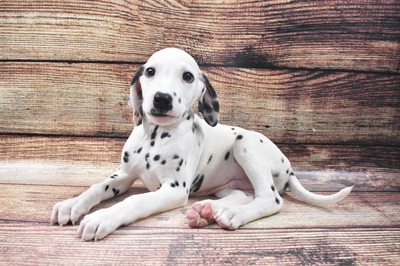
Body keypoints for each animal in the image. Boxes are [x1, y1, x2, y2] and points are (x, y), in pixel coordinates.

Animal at [50, 47, 354, 241]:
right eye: (150, 72)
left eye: (187, 76)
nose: (162, 99)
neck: (154, 138)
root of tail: (289, 168)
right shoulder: (122, 176)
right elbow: (96, 187)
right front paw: (72, 204)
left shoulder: (173, 190)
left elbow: (135, 200)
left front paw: (102, 218)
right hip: (226, 184)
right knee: (243, 195)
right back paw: (209, 211)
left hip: (245, 144)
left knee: (270, 200)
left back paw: (231, 215)